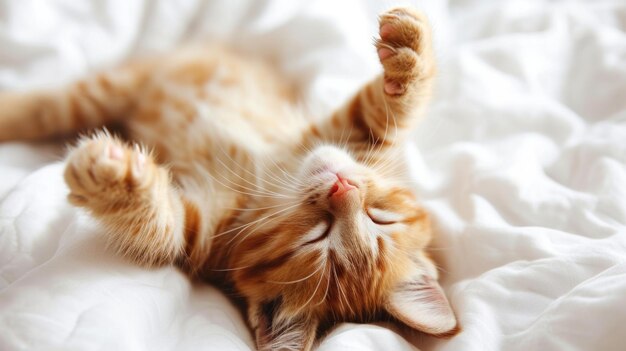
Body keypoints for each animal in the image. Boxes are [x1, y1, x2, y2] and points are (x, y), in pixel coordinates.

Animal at [0, 6, 458, 350]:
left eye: (317, 237)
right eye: (380, 217)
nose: (341, 187)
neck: (267, 184)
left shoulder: (200, 235)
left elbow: (160, 229)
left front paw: (115, 183)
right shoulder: (344, 136)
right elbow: (384, 111)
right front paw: (409, 54)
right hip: (119, 86)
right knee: (49, 106)